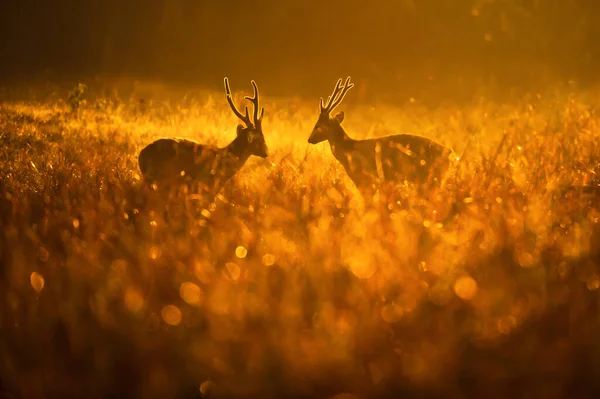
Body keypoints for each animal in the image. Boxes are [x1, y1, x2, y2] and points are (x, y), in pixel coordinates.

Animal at [310, 76, 454, 198]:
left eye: (318, 125)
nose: (309, 139)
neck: (348, 149)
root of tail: (448, 151)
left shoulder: (364, 179)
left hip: (429, 178)